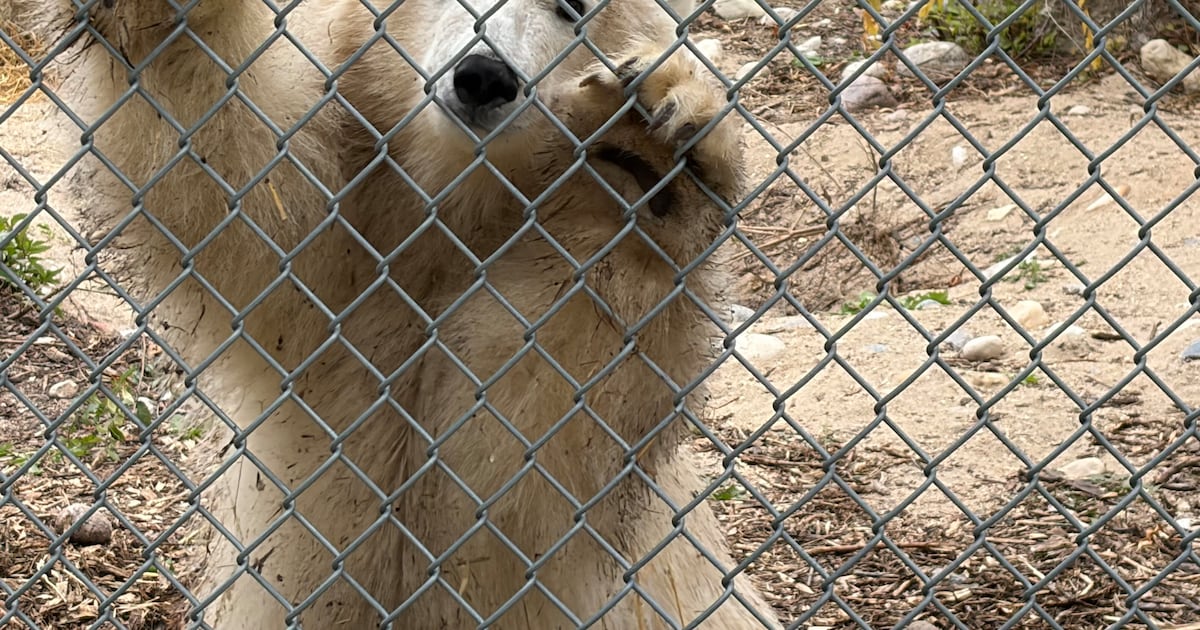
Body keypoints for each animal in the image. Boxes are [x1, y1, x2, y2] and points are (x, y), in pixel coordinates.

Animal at [55, 0, 781, 627]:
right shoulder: (348, 259)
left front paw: (649, 152)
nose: (485, 76)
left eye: (571, 6)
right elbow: (232, 179)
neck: (446, 211)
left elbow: (533, 425)